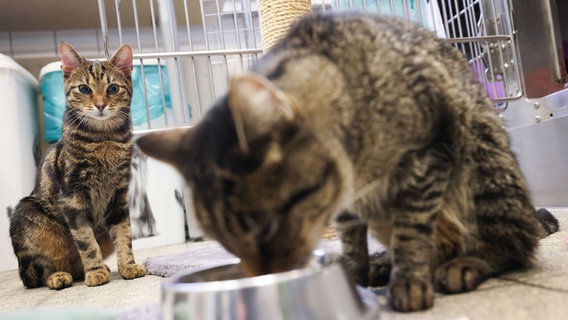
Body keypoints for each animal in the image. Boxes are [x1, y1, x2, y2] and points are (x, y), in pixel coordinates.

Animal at [9, 42, 145, 290]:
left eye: (113, 88)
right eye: (84, 89)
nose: (100, 105)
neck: (104, 140)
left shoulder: (119, 196)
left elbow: (124, 234)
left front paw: (128, 266)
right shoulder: (73, 196)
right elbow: (86, 241)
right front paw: (96, 272)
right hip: (26, 215)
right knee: (36, 275)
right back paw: (58, 276)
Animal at [136, 13, 560, 312]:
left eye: (265, 227)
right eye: (224, 241)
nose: (266, 277)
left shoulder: (427, 154)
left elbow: (412, 231)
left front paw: (408, 281)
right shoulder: (346, 202)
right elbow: (351, 238)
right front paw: (355, 273)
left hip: (482, 165)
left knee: (515, 242)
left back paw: (466, 262)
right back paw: (383, 264)